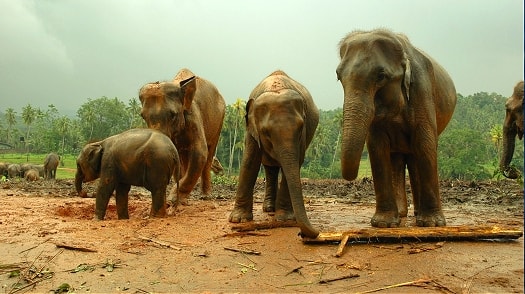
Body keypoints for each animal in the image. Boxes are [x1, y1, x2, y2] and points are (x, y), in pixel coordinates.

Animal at [138, 69, 224, 207]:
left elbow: (200, 153)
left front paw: (173, 200)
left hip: (219, 121)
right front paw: (177, 200)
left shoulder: (193, 116)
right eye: (143, 116)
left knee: (209, 154)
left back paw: (205, 196)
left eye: (173, 115)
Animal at [226, 70, 320, 239]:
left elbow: (296, 163)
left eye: (300, 127)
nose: (316, 233)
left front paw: (285, 219)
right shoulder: (251, 128)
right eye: (266, 132)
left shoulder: (303, 136)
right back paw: (269, 209)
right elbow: (250, 161)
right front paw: (238, 219)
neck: (276, 87)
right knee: (270, 168)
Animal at [336, 29, 454, 227]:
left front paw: (432, 223)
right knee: (398, 159)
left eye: (381, 76)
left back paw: (417, 214)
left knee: (416, 154)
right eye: (338, 76)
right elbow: (377, 147)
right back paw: (402, 213)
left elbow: (425, 144)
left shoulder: (422, 89)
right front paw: (383, 223)